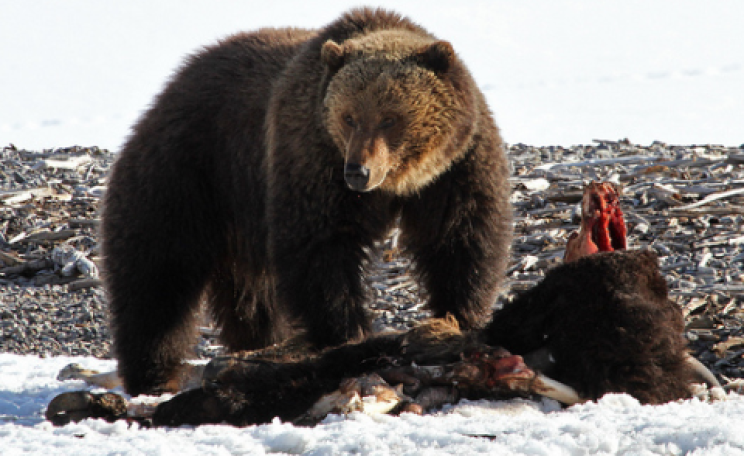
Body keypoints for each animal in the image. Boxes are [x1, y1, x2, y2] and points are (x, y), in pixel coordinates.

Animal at [102, 7, 512, 396]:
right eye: (349, 117)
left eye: (390, 118)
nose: (358, 171)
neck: (400, 183)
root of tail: (171, 86)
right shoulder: (312, 156)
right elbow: (320, 247)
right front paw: (346, 334)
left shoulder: (457, 167)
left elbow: (460, 238)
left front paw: (456, 318)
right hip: (191, 171)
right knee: (157, 275)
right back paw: (154, 375)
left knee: (251, 297)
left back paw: (256, 344)